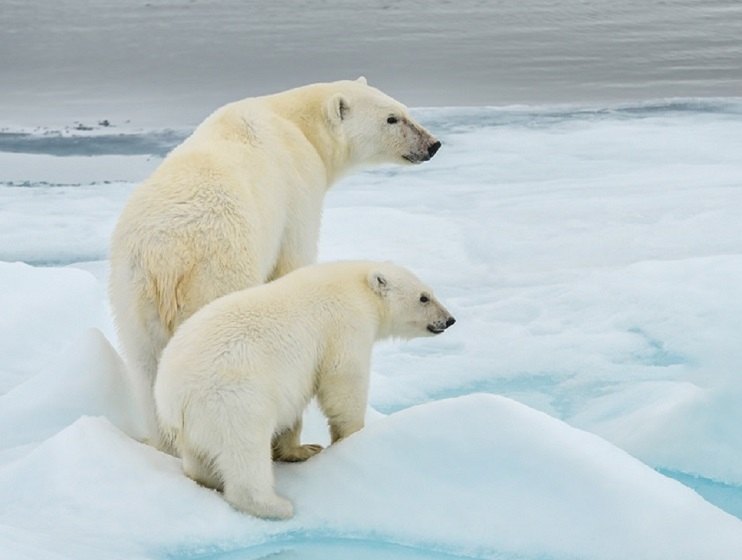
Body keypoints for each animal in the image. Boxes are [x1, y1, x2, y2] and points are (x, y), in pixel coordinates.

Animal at [110, 77, 442, 442]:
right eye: (392, 119)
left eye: (404, 110)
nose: (433, 144)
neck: (293, 120)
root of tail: (165, 259)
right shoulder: (299, 187)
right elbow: (294, 259)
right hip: (216, 273)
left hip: (132, 296)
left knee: (146, 368)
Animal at [154, 260, 456, 520]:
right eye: (424, 297)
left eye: (429, 292)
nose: (449, 319)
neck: (357, 285)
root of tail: (174, 394)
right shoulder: (345, 324)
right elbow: (343, 381)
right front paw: (352, 436)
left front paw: (304, 449)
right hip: (233, 398)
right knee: (246, 451)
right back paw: (275, 505)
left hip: (191, 424)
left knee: (199, 457)